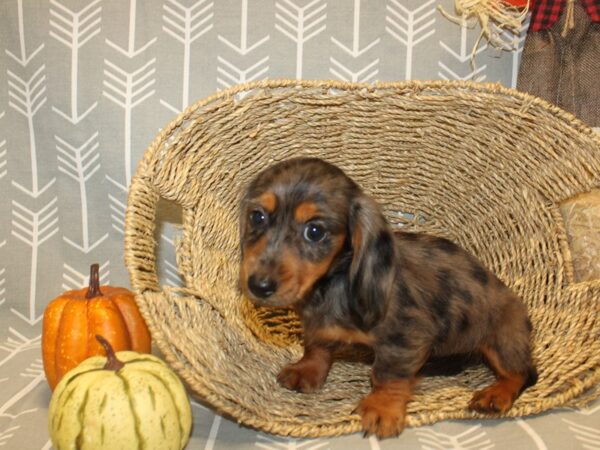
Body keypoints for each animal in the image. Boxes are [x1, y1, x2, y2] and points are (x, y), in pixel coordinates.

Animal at [239, 157, 540, 440]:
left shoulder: (404, 337)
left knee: (524, 373)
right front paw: (307, 370)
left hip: (501, 338)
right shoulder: (317, 325)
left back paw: (496, 394)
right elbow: (317, 346)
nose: (259, 285)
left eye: (315, 231)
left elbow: (387, 374)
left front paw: (382, 408)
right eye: (257, 217)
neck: (334, 283)